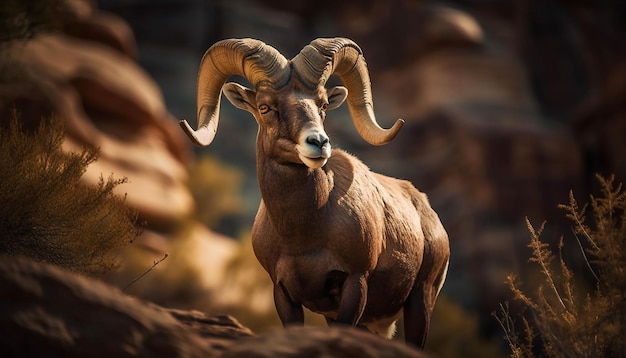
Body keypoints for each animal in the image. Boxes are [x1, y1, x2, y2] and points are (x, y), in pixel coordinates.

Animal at [178, 37, 446, 348]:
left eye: (324, 105)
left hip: (420, 301)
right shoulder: (284, 294)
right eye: (265, 107)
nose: (318, 142)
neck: (304, 236)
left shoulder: (355, 284)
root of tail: (426, 210)